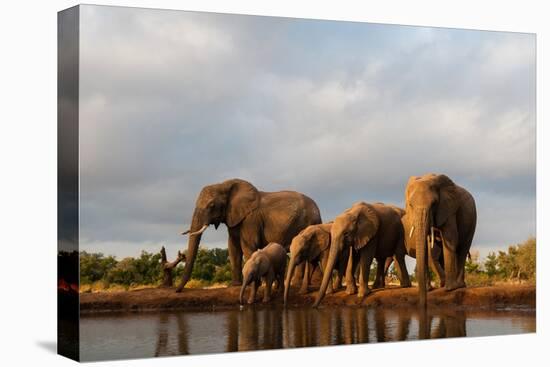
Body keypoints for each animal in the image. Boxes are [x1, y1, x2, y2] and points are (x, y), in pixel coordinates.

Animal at [177, 179, 324, 294]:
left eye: (211, 205)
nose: (178, 290)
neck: (225, 185)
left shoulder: (251, 220)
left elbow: (247, 247)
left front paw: (254, 284)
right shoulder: (234, 218)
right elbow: (233, 248)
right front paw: (235, 285)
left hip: (307, 223)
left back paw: (296, 284)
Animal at [406, 174, 478, 306]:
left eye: (434, 204)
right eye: (411, 205)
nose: (424, 304)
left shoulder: (448, 209)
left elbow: (450, 239)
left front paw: (449, 289)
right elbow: (428, 246)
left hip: (472, 219)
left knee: (463, 248)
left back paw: (459, 285)